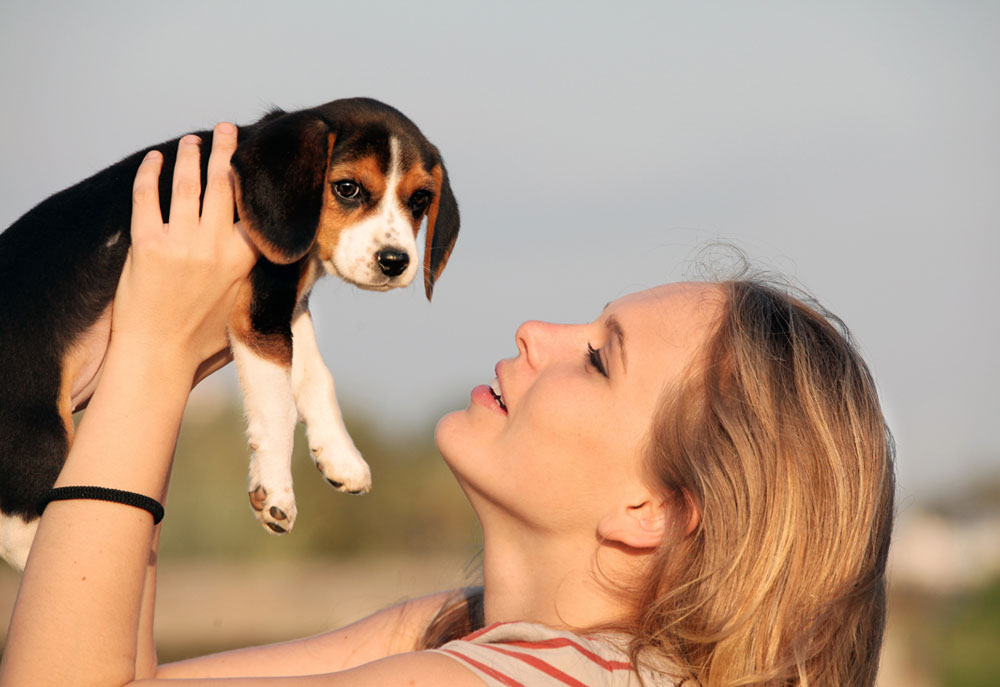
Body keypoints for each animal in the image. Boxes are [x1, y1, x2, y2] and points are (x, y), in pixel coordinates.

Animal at [0, 97, 460, 568]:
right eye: (347, 188)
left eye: (420, 199)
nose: (395, 261)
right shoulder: (259, 316)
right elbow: (277, 408)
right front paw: (276, 491)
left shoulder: (285, 305)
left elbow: (315, 376)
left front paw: (341, 456)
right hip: (34, 430)